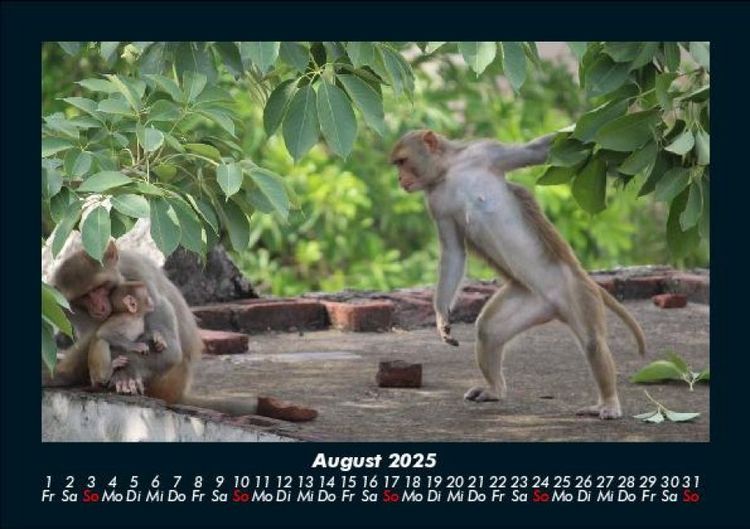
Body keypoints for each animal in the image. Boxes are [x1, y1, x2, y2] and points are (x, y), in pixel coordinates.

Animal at [45, 240, 257, 415]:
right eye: (85, 296)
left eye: (100, 288)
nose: (99, 307)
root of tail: (179, 394)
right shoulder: (66, 306)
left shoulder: (140, 279)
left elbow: (169, 350)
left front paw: (126, 374)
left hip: (170, 381)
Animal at [390, 129, 646, 419]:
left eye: (402, 161)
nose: (400, 179)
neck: (449, 171)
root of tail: (555, 305)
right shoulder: (436, 203)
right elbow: (453, 253)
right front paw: (442, 315)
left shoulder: (485, 151)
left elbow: (537, 150)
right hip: (531, 298)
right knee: (489, 331)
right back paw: (495, 389)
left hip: (579, 291)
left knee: (593, 342)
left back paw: (609, 402)